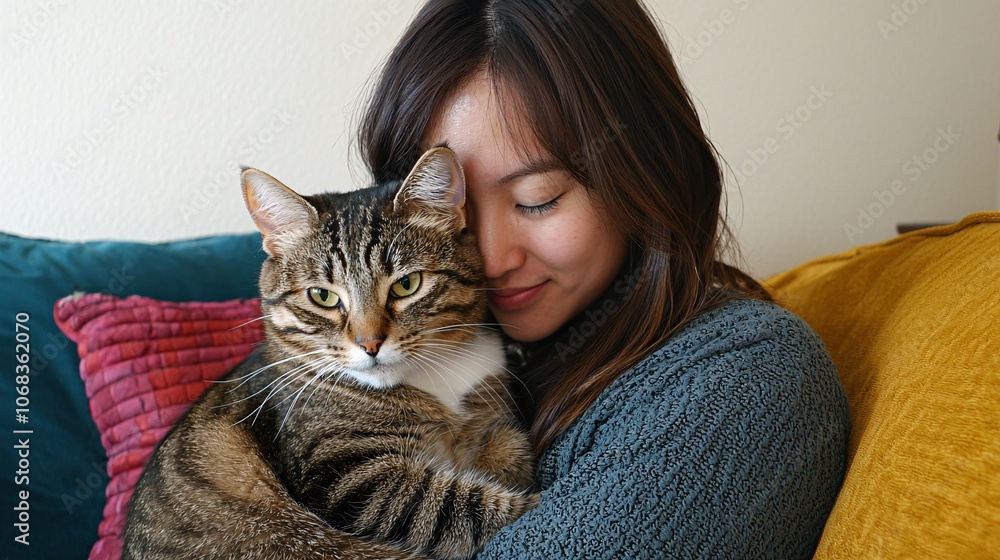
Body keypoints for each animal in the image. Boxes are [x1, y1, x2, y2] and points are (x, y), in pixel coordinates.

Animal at [122, 147, 539, 560]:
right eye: (322, 296)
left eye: (407, 284)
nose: (370, 343)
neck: (435, 384)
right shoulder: (348, 476)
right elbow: (456, 508)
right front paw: (525, 502)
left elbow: (509, 447)